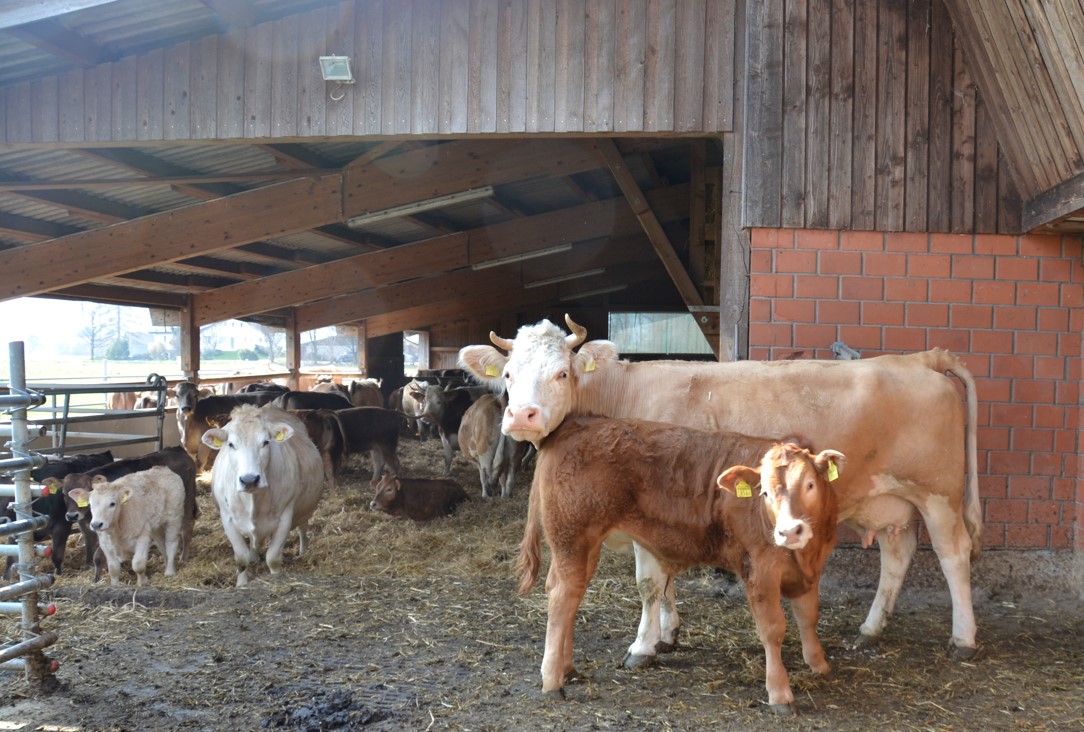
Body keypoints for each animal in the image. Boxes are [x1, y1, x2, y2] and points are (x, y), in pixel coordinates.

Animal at [47, 446, 198, 581]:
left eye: (87, 488)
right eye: (63, 493)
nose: (72, 515)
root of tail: (177, 449)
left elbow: (98, 557)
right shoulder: (88, 531)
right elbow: (90, 555)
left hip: (186, 502)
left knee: (186, 527)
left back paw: (183, 557)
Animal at [202, 404, 326, 587]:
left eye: (266, 442)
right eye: (230, 444)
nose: (249, 479)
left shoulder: (285, 517)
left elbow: (273, 558)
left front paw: (275, 579)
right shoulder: (227, 519)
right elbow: (241, 558)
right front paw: (241, 584)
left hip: (305, 510)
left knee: (303, 529)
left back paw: (303, 551)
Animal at [460, 315, 981, 659]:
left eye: (562, 372)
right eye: (509, 375)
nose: (521, 416)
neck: (621, 396)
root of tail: (918, 359)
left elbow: (649, 582)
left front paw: (642, 645)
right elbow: (665, 580)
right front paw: (667, 633)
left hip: (938, 494)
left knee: (953, 554)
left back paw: (964, 639)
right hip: (894, 500)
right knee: (898, 554)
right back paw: (871, 629)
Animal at [517, 417, 842, 714]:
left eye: (810, 484)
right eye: (764, 493)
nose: (790, 531)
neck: (804, 556)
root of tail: (573, 424)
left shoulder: (812, 569)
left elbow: (808, 615)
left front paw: (818, 663)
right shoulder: (759, 569)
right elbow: (773, 629)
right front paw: (780, 694)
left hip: (581, 546)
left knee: (571, 595)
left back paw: (567, 668)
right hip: (571, 538)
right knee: (561, 597)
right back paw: (552, 680)